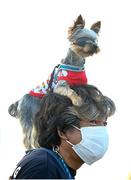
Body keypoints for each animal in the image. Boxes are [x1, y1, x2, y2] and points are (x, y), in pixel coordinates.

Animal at [7, 15, 115, 149]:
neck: (75, 65)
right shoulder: (60, 85)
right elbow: (70, 91)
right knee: (27, 136)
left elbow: (91, 93)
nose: (95, 47)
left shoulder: (83, 84)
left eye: (95, 41)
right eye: (83, 39)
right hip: (28, 114)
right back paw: (30, 148)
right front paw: (77, 100)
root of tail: (19, 101)